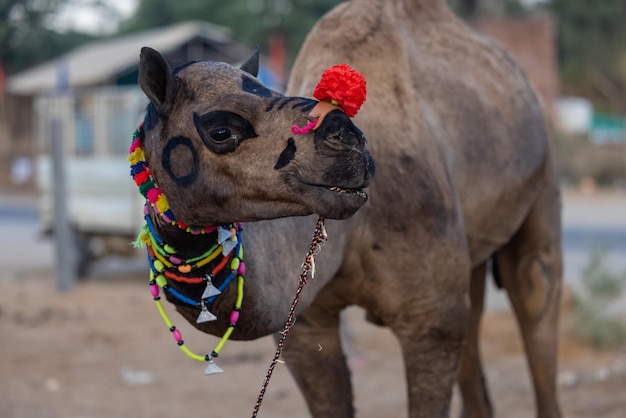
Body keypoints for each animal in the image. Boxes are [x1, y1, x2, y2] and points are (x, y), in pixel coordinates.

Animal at [133, 0, 560, 414]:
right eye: (221, 131)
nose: (349, 140)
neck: (352, 234)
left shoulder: (432, 320)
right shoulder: (305, 326)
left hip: (543, 189)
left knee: (535, 290)